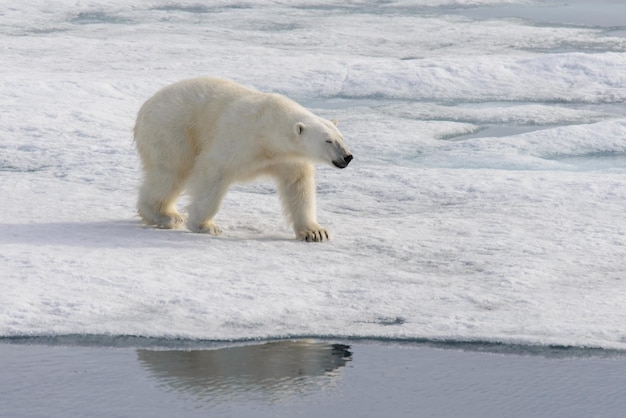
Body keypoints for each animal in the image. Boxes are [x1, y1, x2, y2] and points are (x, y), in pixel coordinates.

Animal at [133, 77, 352, 242]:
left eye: (341, 137)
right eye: (328, 140)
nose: (347, 157)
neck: (268, 126)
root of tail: (145, 106)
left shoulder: (288, 158)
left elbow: (298, 186)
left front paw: (315, 232)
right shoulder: (239, 136)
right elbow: (213, 172)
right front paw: (206, 226)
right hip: (172, 129)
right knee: (170, 172)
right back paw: (166, 216)